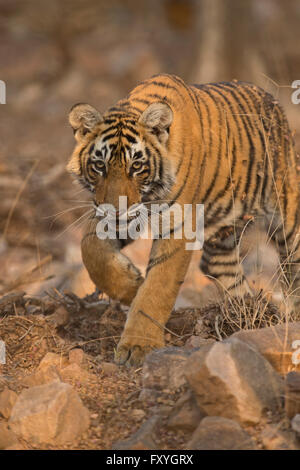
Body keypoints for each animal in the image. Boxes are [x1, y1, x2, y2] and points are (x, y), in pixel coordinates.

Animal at [67, 72, 300, 368]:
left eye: (136, 166)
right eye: (100, 166)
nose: (114, 210)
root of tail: (273, 101)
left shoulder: (175, 227)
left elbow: (158, 287)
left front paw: (137, 346)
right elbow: (91, 251)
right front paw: (132, 284)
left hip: (286, 210)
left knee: (292, 262)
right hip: (223, 227)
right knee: (219, 264)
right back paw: (246, 310)